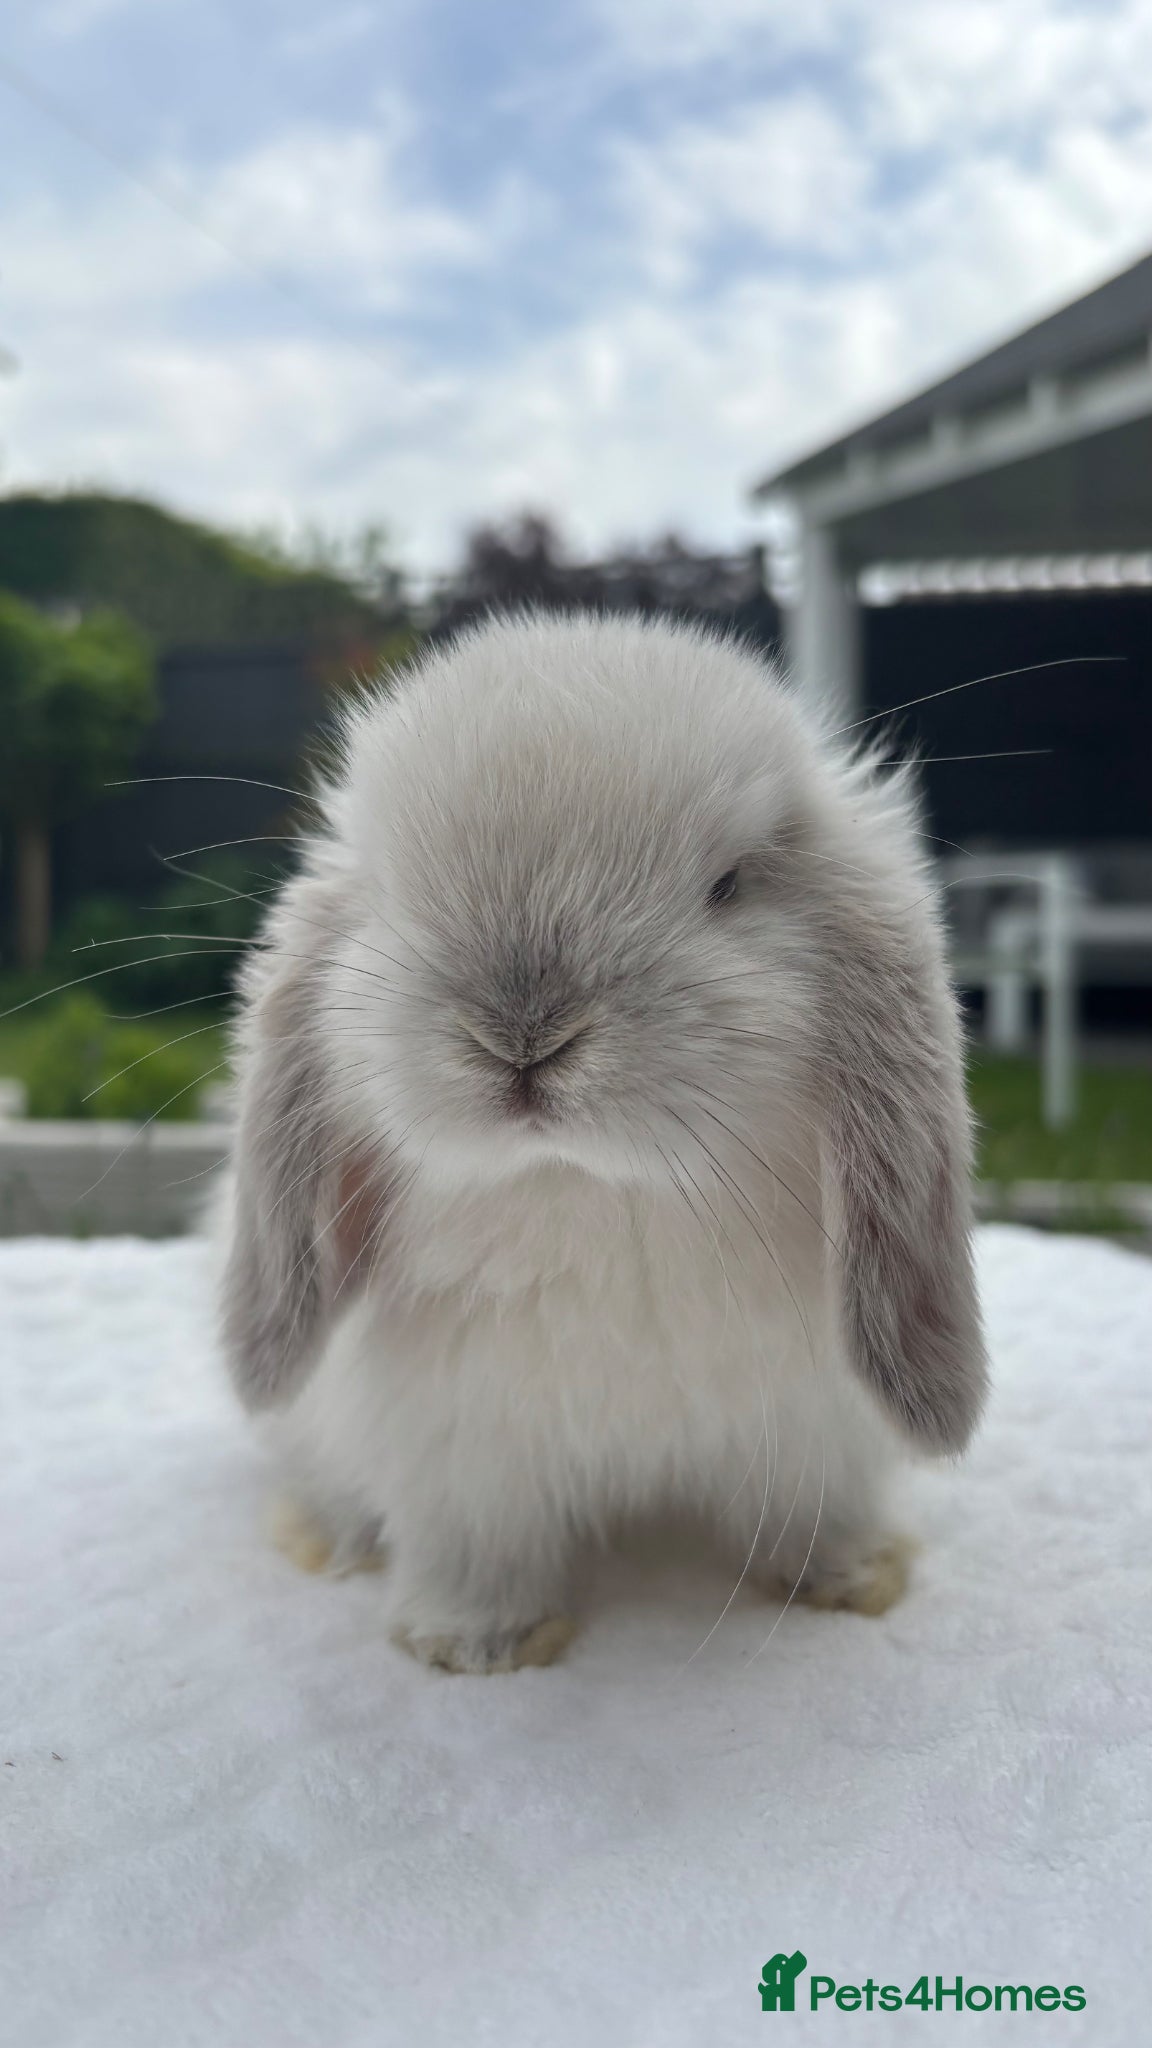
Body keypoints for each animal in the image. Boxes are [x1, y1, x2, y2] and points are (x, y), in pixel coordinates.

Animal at [219, 612, 987, 1673]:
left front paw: (852, 1581)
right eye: (392, 892)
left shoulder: (817, 1429)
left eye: (728, 885)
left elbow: (818, 1511)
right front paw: (478, 1645)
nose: (521, 1034)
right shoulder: (463, 1452)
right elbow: (478, 1548)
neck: (599, 1195)